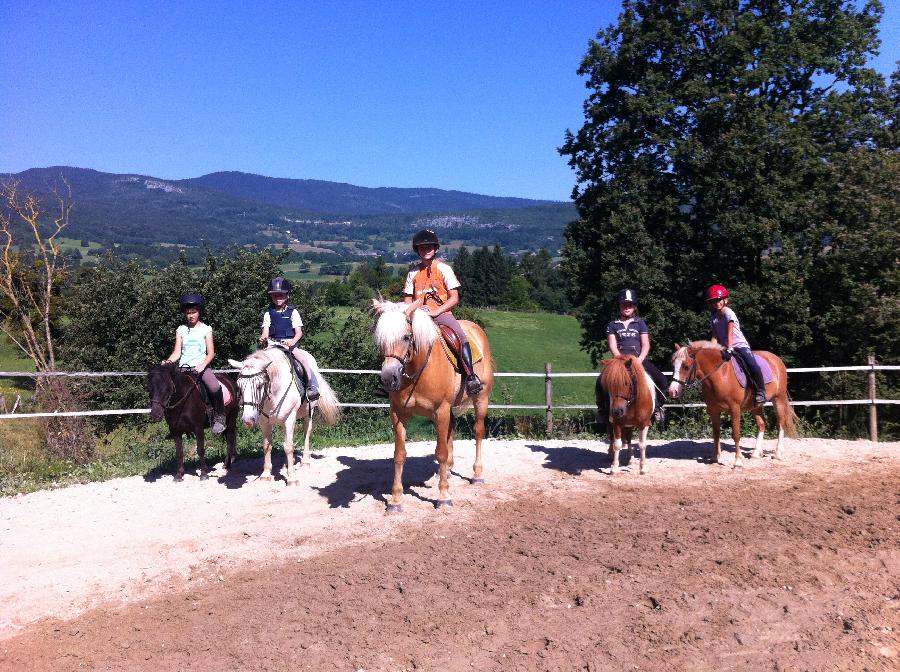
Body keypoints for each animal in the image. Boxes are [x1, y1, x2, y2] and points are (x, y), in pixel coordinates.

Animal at [229, 346, 342, 484]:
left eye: (259, 385)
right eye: (239, 385)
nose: (248, 420)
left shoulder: (289, 419)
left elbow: (289, 446)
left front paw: (292, 478)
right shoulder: (264, 422)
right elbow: (267, 446)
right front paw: (266, 474)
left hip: (309, 412)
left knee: (306, 432)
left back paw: (305, 462)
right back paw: (289, 463)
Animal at [374, 296, 500, 512]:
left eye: (406, 337)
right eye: (380, 339)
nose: (389, 378)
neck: (419, 371)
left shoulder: (440, 410)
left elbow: (440, 452)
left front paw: (443, 496)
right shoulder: (398, 413)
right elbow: (399, 454)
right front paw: (396, 500)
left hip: (481, 399)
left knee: (478, 432)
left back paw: (477, 475)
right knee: (452, 431)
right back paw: (448, 471)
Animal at [664, 342, 800, 468]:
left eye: (686, 366)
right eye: (673, 365)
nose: (672, 391)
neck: (721, 375)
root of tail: (775, 358)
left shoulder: (735, 409)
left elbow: (736, 434)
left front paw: (738, 461)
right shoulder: (713, 410)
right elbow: (716, 434)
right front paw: (714, 458)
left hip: (779, 399)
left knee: (780, 423)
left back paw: (778, 453)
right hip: (756, 406)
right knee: (762, 424)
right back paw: (756, 453)